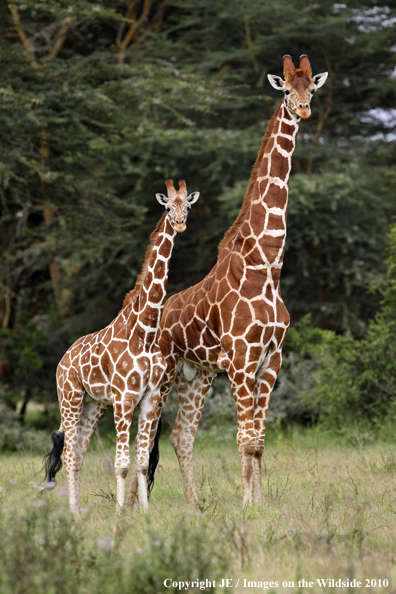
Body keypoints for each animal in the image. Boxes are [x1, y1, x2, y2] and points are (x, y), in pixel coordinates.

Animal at [43, 179, 200, 508]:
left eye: (189, 206)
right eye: (169, 207)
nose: (180, 224)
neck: (145, 331)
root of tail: (63, 360)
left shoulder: (149, 398)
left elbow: (141, 461)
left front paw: (144, 512)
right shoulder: (124, 398)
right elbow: (122, 463)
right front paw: (119, 513)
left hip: (93, 405)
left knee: (78, 454)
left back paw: (78, 511)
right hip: (70, 398)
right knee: (68, 453)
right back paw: (73, 511)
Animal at [127, 54, 328, 504]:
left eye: (313, 88)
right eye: (286, 90)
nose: (304, 110)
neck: (266, 264)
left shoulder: (271, 360)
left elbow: (260, 440)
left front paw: (260, 502)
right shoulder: (242, 358)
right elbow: (245, 439)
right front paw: (248, 505)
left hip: (197, 375)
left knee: (181, 436)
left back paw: (194, 504)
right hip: (164, 376)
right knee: (144, 438)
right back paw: (132, 505)